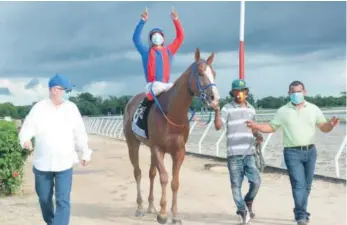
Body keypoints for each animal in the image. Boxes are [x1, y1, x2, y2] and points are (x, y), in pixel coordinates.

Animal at [122, 48, 220, 224]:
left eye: (214, 73)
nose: (214, 99)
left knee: (151, 173)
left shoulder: (179, 151)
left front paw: (174, 215)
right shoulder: (158, 148)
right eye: (201, 73)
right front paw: (162, 214)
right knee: (138, 172)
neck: (172, 114)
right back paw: (140, 207)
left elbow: (174, 182)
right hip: (132, 144)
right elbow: (164, 177)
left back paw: (150, 206)